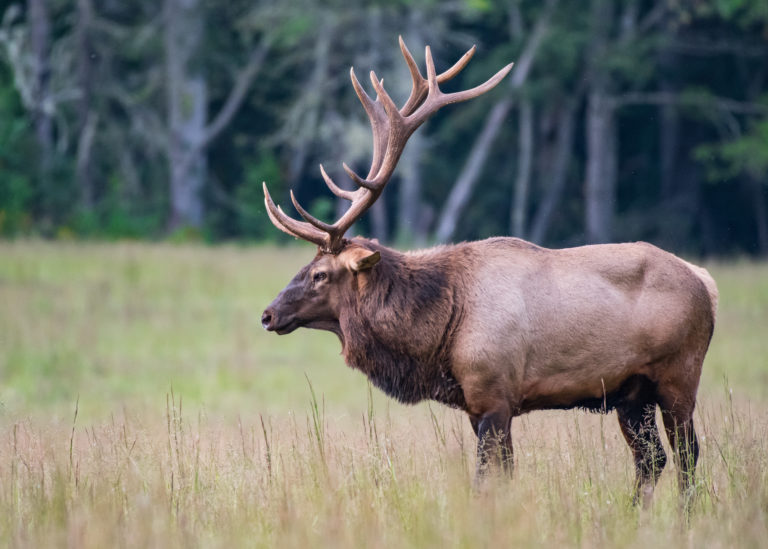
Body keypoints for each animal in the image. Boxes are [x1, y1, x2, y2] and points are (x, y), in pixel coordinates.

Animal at [260, 37, 718, 507]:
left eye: (320, 274)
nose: (268, 314)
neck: (438, 332)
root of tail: (705, 281)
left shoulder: (495, 394)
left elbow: (486, 479)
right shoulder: (477, 404)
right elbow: (504, 475)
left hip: (680, 374)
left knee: (687, 455)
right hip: (631, 392)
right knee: (651, 459)